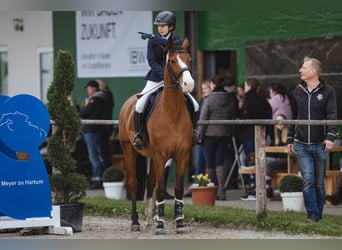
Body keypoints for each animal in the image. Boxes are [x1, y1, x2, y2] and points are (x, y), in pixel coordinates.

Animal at [119, 37, 195, 234]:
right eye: (172, 61)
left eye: (189, 60)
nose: (189, 85)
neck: (173, 113)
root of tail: (128, 103)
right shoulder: (161, 155)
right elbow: (161, 189)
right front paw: (161, 225)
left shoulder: (182, 155)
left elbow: (177, 189)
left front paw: (179, 223)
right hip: (129, 150)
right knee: (134, 183)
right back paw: (136, 222)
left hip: (151, 157)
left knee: (150, 182)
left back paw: (148, 220)